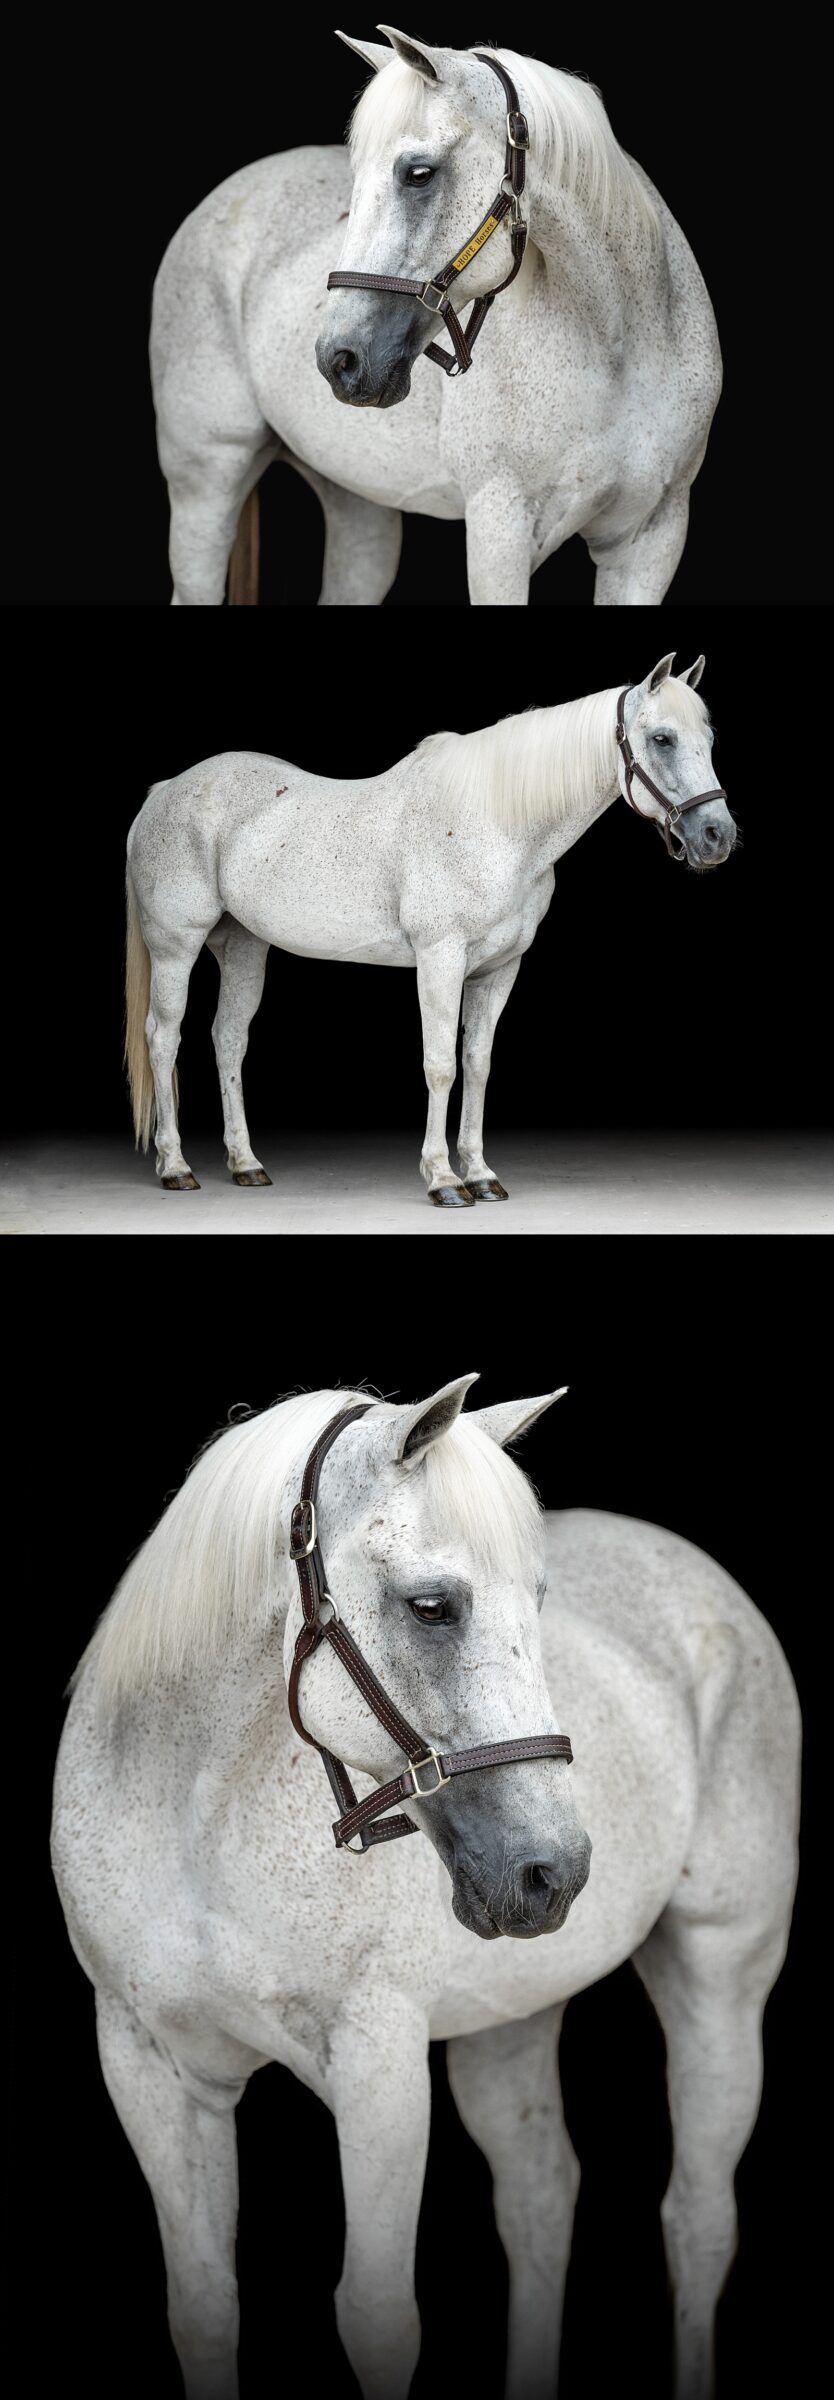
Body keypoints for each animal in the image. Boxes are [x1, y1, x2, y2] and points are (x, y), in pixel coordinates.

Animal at [53, 1372, 800, 2400]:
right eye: (433, 1605)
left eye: (538, 1601)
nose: (553, 1870)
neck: (192, 1818)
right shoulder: (148, 2065)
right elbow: (203, 2308)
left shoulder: (380, 2064)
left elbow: (375, 2315)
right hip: (512, 2015)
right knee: (539, 2199)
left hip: (720, 1976)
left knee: (697, 2221)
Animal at [122, 652, 738, 1200]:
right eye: (662, 739)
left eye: (708, 739)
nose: (718, 836)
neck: (496, 820)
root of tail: (164, 792)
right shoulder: (440, 958)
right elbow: (440, 1065)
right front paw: (443, 1180)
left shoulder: (498, 969)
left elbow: (478, 1065)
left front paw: (482, 1175)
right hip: (176, 946)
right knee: (164, 1037)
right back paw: (176, 1167)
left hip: (244, 945)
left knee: (228, 1039)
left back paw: (246, 1164)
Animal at [151, 27, 723, 604]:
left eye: (419, 174)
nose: (340, 360)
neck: (618, 352)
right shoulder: (499, 533)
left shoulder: (650, 539)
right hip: (206, 481)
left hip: (358, 507)